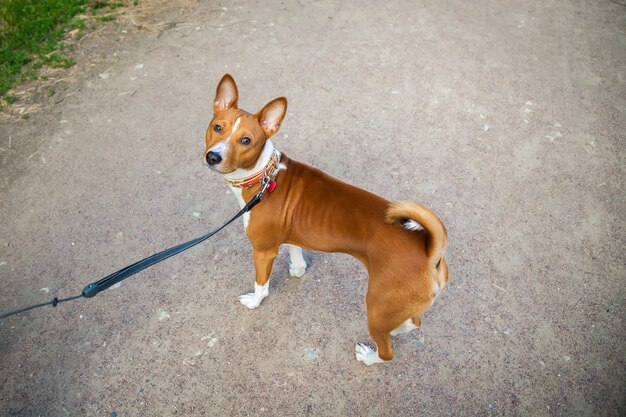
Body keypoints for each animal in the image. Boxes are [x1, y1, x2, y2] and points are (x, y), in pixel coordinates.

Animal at [202, 75, 446, 364]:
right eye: (217, 127)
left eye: (246, 140)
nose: (213, 156)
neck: (263, 175)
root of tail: (430, 253)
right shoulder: (288, 233)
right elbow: (296, 253)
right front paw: (297, 270)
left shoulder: (263, 251)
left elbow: (261, 284)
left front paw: (255, 301)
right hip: (393, 308)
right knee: (412, 322)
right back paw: (396, 330)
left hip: (376, 306)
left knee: (387, 352)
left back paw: (369, 356)